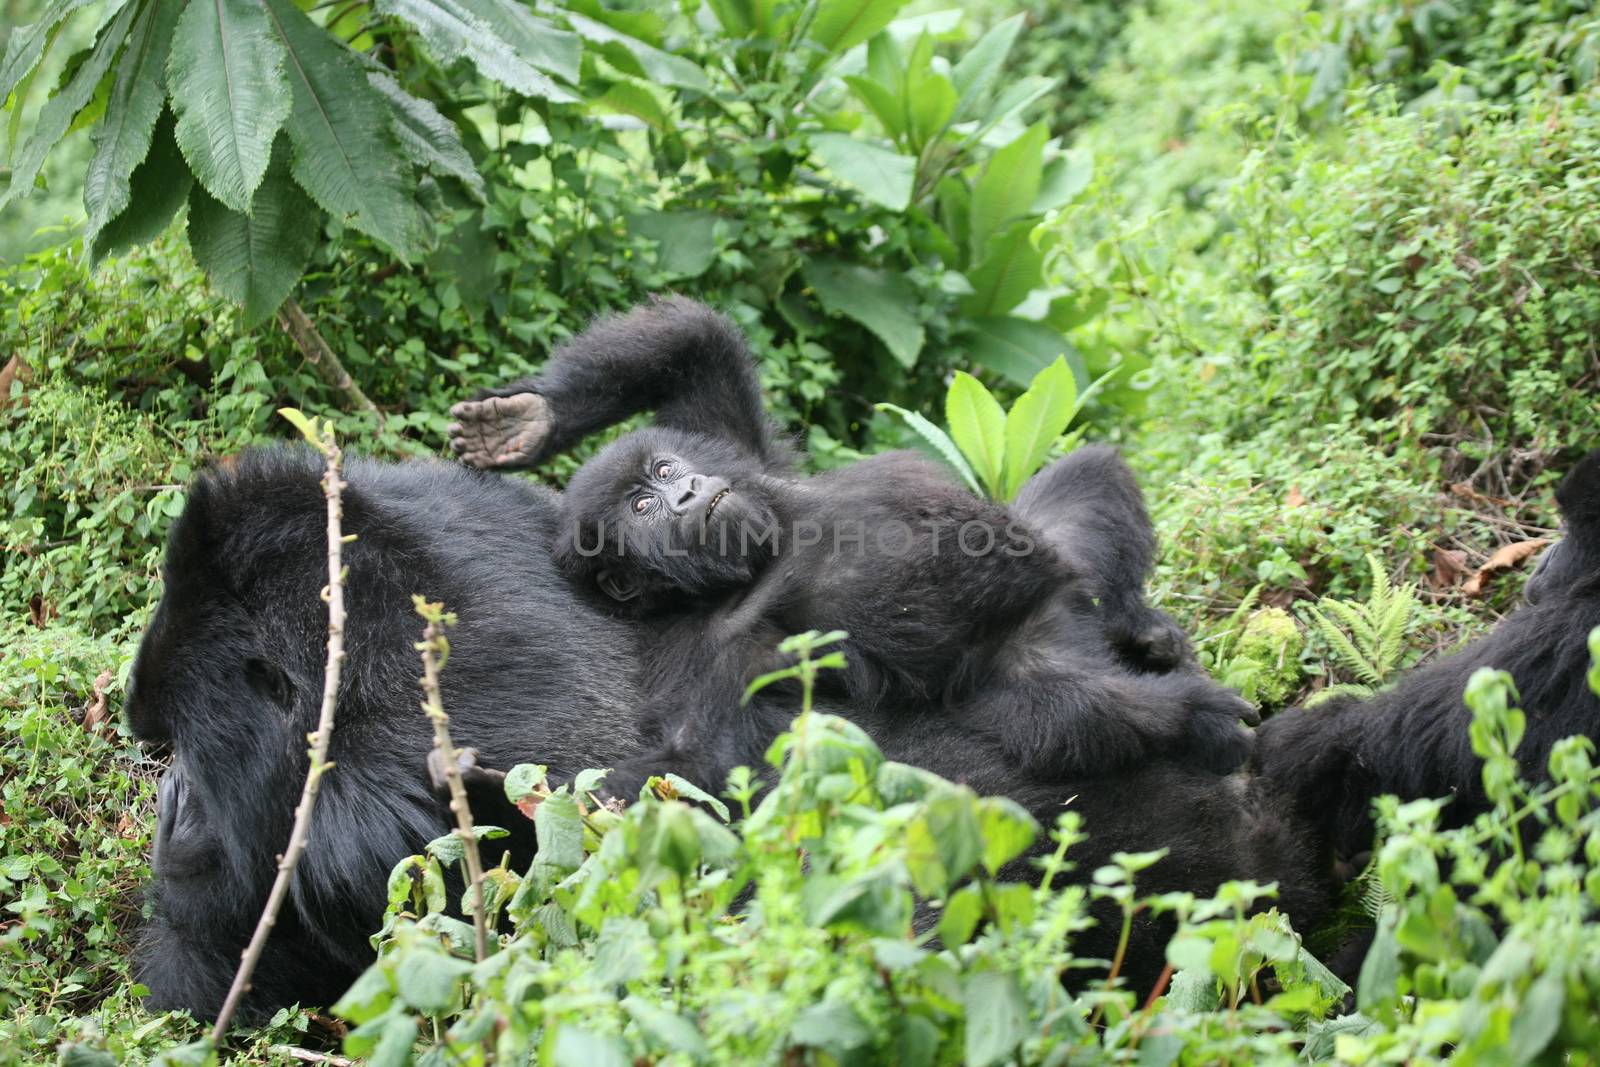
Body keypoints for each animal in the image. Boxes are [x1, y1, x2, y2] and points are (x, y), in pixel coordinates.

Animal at [444, 294, 1254, 793]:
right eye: (642, 508)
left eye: (664, 471)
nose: (686, 495)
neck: (752, 563)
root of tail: (1072, 618)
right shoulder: (711, 654)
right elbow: (691, 762)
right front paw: (502, 789)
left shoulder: (738, 450)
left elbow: (694, 347)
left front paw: (531, 420)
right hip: (1016, 669)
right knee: (1079, 711)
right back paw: (1192, 717)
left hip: (1062, 567)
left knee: (1090, 486)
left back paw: (1139, 623)